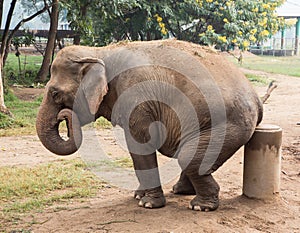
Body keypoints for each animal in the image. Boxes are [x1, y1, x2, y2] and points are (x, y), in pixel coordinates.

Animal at [36, 39, 264, 211]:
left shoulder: (136, 97)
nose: (63, 116)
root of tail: (256, 98)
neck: (100, 51)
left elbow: (139, 144)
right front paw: (138, 196)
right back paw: (182, 191)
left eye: (55, 93)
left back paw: (200, 206)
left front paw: (147, 203)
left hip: (227, 124)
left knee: (188, 156)